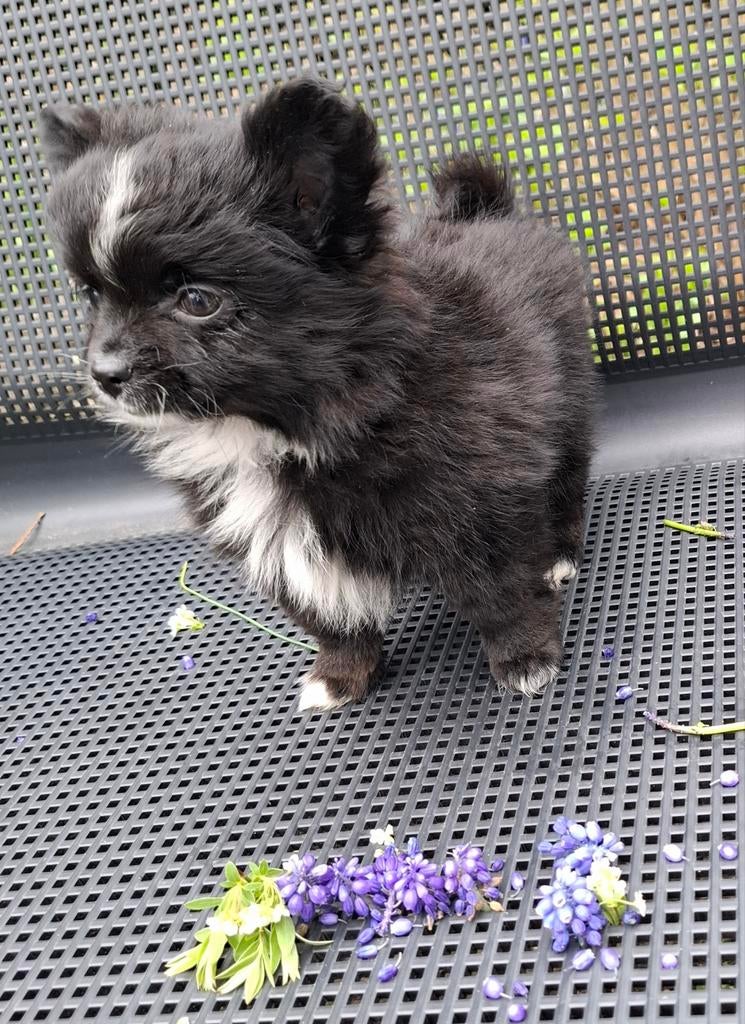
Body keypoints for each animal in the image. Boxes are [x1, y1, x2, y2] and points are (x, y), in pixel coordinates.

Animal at [40, 78, 596, 711]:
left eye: (198, 300)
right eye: (92, 297)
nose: (105, 372)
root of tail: (487, 212)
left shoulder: (480, 501)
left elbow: (500, 592)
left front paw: (526, 659)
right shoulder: (278, 538)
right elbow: (327, 613)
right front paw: (341, 674)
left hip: (567, 402)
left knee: (566, 482)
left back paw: (559, 554)